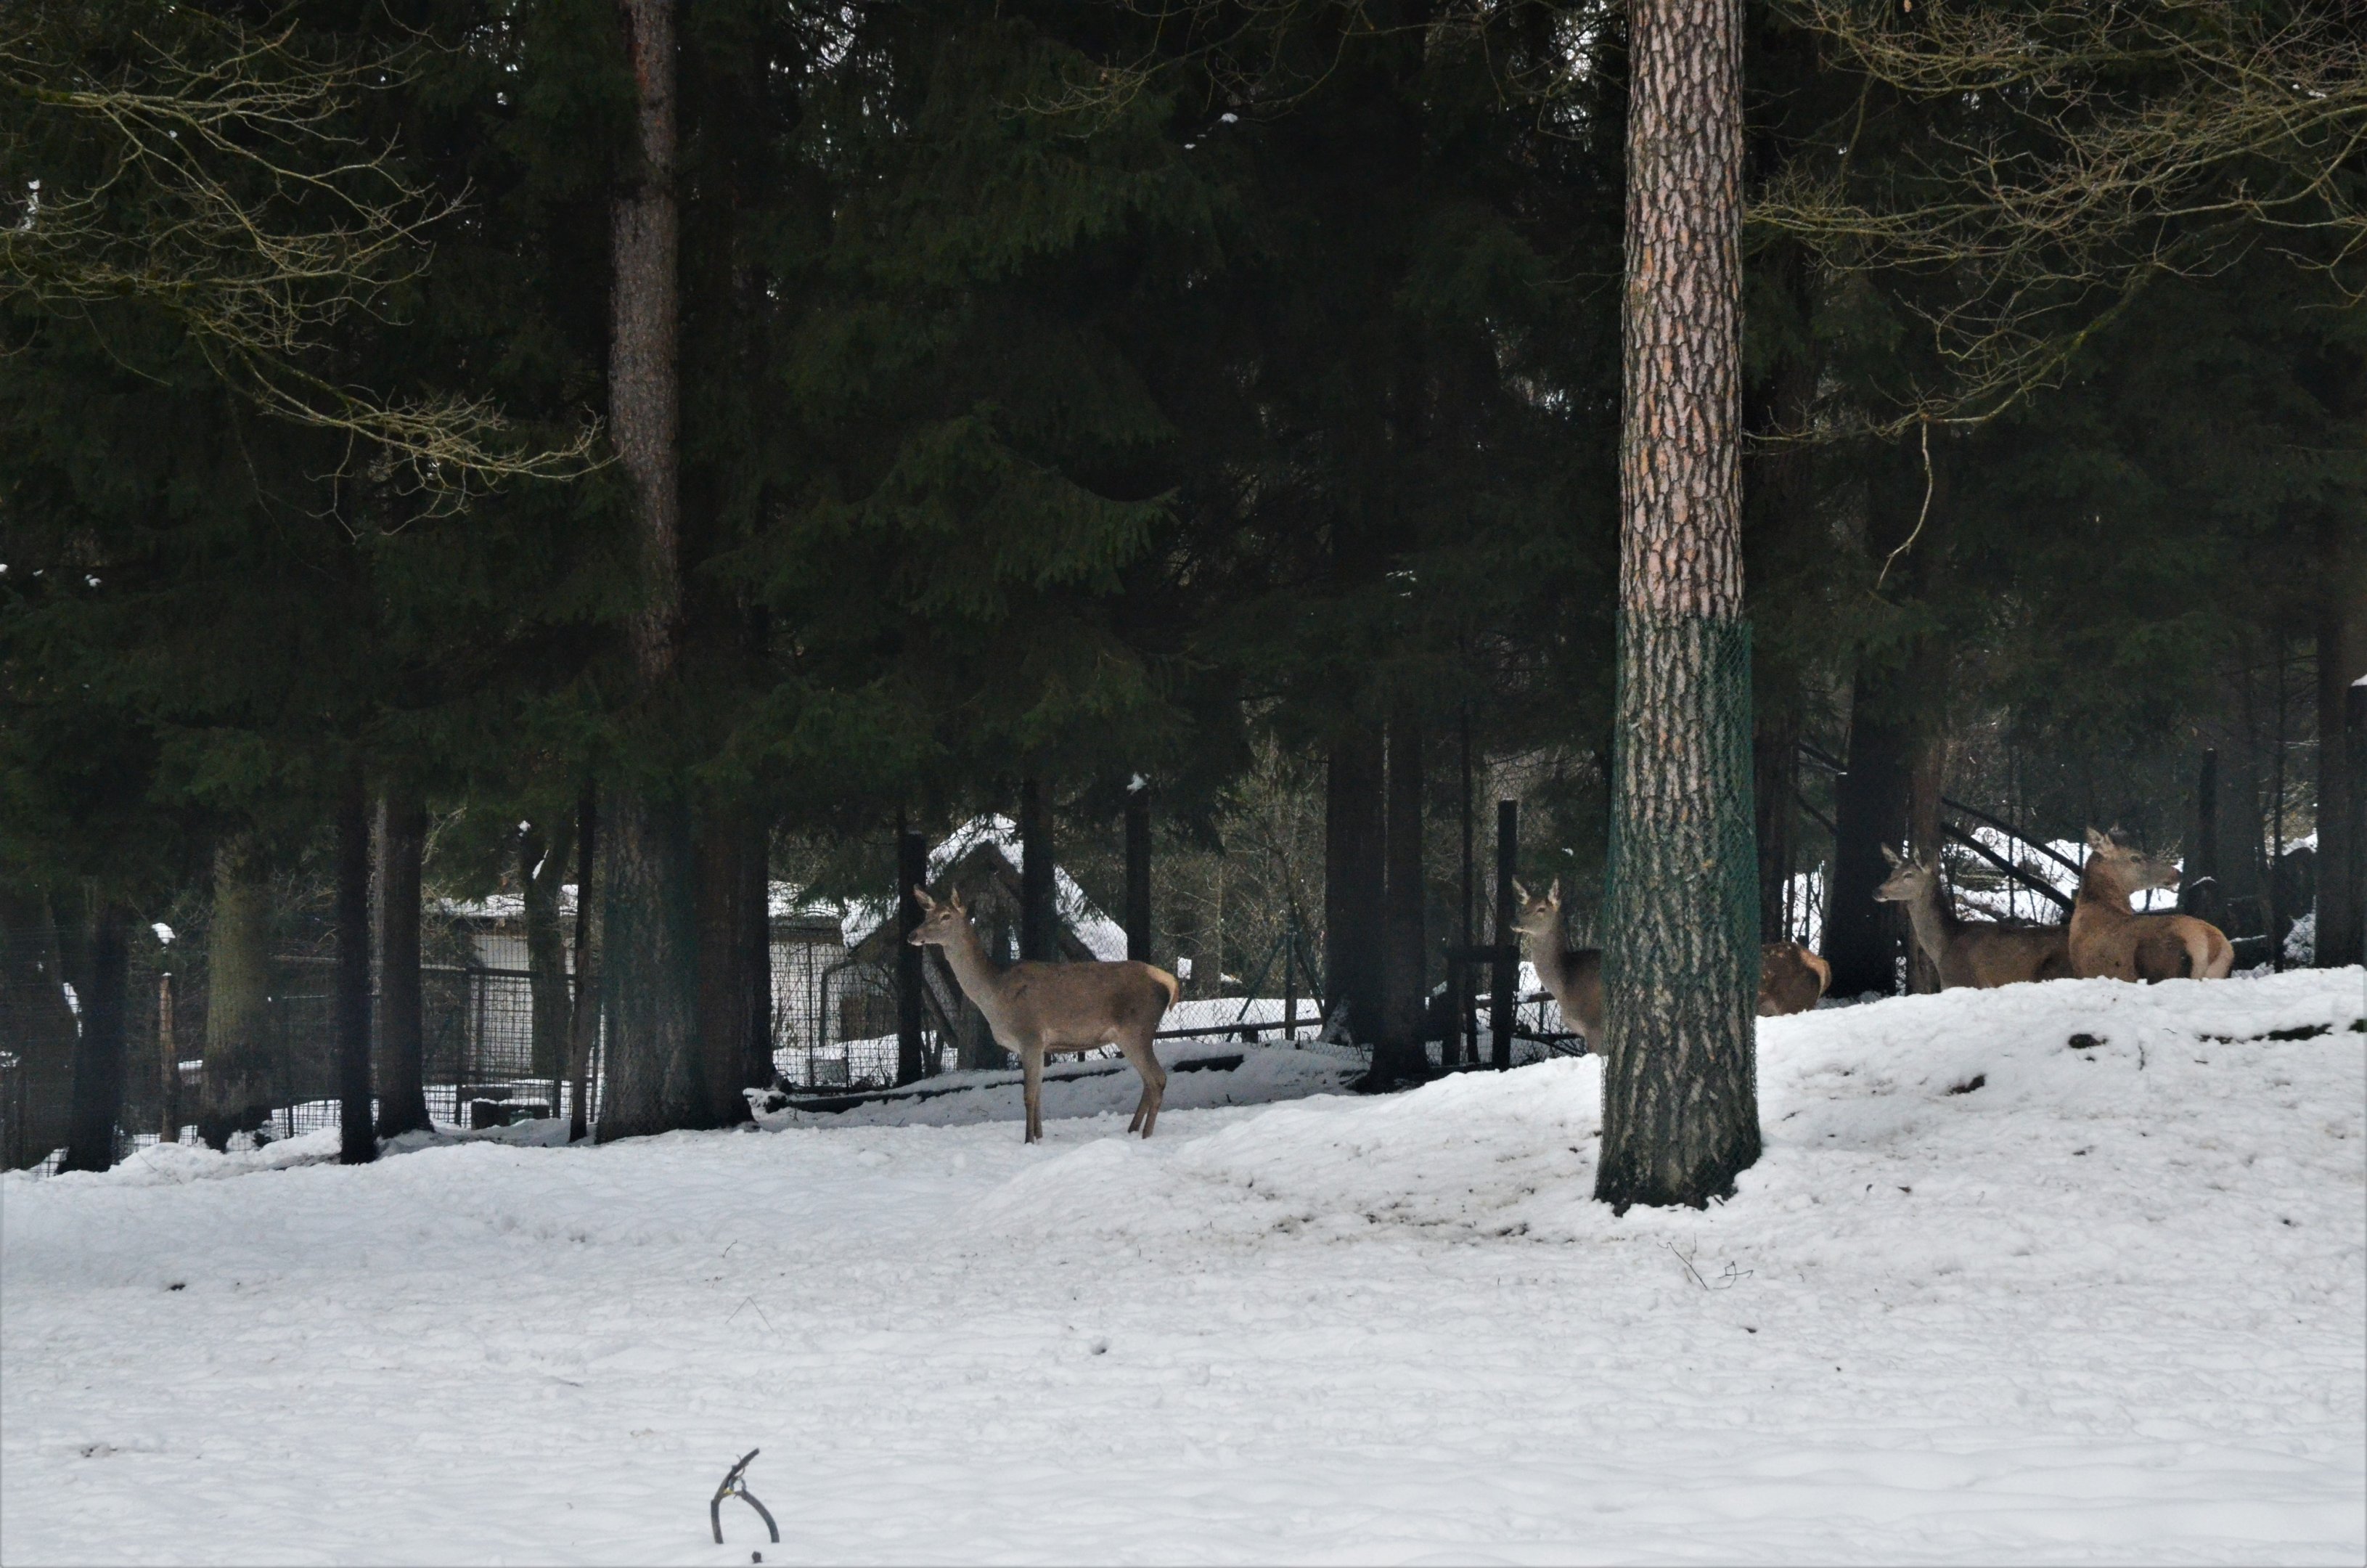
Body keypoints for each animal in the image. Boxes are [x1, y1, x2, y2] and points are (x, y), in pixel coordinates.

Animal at [906, 886, 1182, 1143]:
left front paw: (1028, 1140)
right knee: (1148, 1081)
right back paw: (1132, 1130)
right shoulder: (1038, 1046)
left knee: (1158, 1079)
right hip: (1130, 1035)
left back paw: (1145, 1135)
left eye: (946, 916)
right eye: (926, 914)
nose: (913, 935)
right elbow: (1038, 1093)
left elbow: (1028, 1094)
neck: (995, 994)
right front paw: (1039, 1137)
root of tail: (1168, 981)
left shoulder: (1029, 1034)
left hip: (1137, 1028)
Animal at [1873, 845, 2073, 988]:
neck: (1945, 945)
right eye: (1892, 873)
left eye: (1909, 875)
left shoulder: (1962, 980)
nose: (1878, 891)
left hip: (2057, 971)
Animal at [2067, 829, 2233, 982]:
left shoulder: (2083, 973)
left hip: (2164, 969)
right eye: (2135, 857)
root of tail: (2213, 943)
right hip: (2217, 973)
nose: (2177, 873)